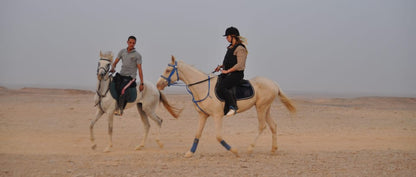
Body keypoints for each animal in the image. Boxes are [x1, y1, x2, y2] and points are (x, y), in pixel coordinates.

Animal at [156, 56, 296, 157]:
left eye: (168, 70)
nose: (158, 84)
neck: (203, 87)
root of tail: (274, 84)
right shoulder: (203, 115)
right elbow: (197, 134)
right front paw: (190, 153)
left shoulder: (217, 115)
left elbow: (218, 137)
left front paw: (234, 151)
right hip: (266, 108)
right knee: (273, 125)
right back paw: (273, 150)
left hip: (261, 108)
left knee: (262, 126)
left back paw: (250, 149)